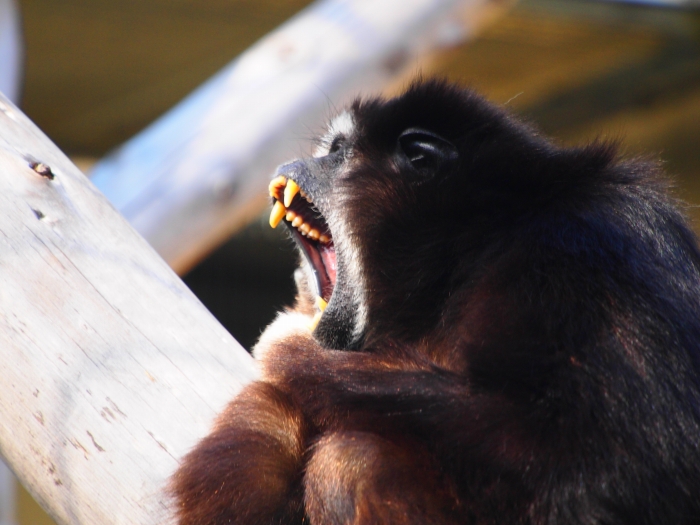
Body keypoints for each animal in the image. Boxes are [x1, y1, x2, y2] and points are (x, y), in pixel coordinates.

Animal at [170, 80, 700, 524]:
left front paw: (291, 351)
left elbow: (601, 465)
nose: (297, 164)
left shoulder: (585, 250)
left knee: (353, 460)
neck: (472, 248)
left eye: (337, 153)